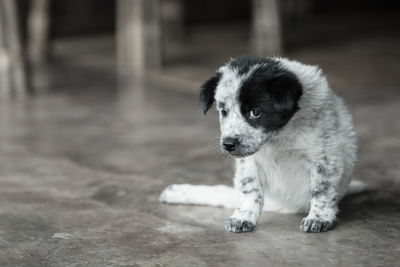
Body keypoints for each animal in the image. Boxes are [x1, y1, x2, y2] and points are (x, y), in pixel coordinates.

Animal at [160, 56, 362, 234]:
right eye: (223, 111)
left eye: (255, 112)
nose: (228, 144)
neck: (279, 137)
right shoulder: (249, 162)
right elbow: (250, 190)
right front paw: (243, 217)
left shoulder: (325, 157)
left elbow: (322, 190)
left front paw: (318, 218)